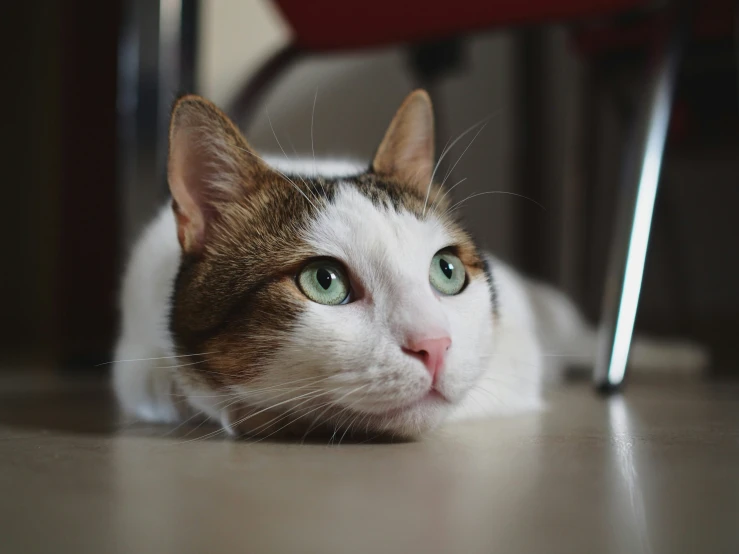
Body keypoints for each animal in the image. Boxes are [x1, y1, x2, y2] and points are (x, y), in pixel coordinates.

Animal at [112, 88, 708, 438]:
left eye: (447, 271)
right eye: (323, 281)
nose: (436, 346)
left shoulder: (514, 359)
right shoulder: (135, 357)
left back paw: (673, 355)